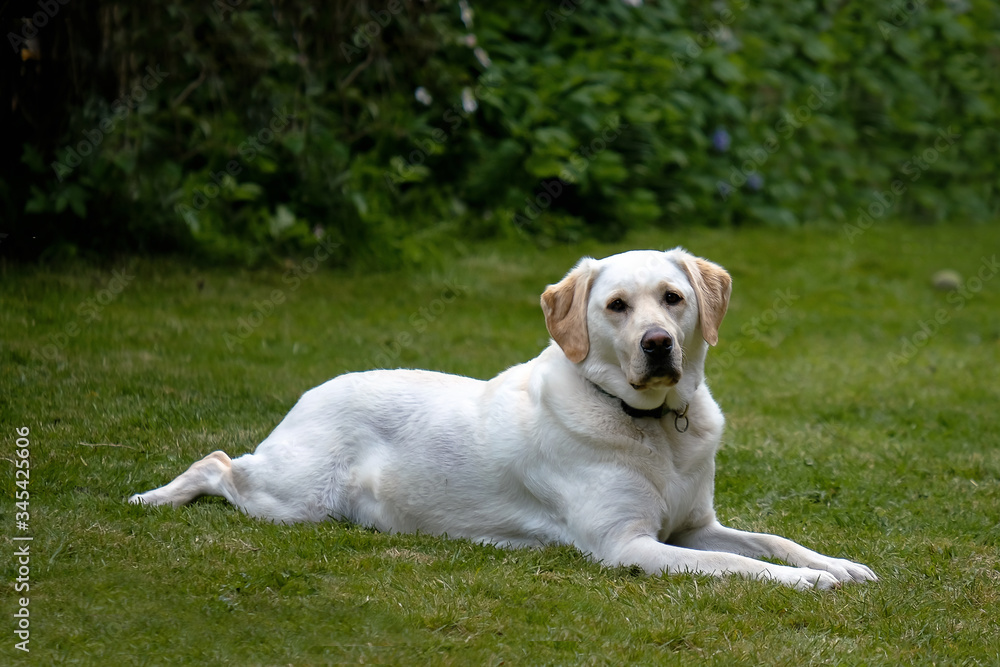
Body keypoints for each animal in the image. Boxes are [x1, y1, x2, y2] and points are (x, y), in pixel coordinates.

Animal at [131, 249, 876, 588]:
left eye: (673, 298)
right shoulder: (630, 545)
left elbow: (772, 540)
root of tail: (310, 393)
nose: (657, 344)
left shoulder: (696, 525)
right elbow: (735, 566)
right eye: (616, 306)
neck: (654, 424)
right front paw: (810, 581)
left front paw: (838, 563)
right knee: (218, 462)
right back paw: (153, 497)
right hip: (293, 498)